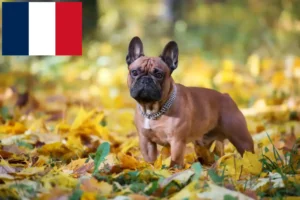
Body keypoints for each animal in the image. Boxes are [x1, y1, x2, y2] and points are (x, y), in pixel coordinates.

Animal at [125, 36, 254, 167]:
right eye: (134, 72)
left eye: (159, 74)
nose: (146, 80)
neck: (152, 110)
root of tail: (226, 96)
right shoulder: (146, 141)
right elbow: (150, 160)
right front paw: (151, 168)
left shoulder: (177, 141)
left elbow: (175, 161)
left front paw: (174, 170)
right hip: (201, 144)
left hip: (241, 138)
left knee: (249, 153)